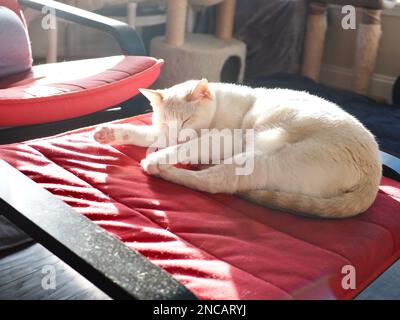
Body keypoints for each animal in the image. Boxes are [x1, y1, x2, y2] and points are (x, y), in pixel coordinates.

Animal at [94, 79, 382, 219]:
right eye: (166, 121)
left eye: (186, 120)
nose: (176, 135)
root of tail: (373, 177)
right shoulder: (165, 134)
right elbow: (145, 134)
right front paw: (109, 133)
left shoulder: (223, 139)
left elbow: (188, 147)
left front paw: (162, 156)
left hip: (260, 158)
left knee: (215, 183)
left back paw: (163, 168)